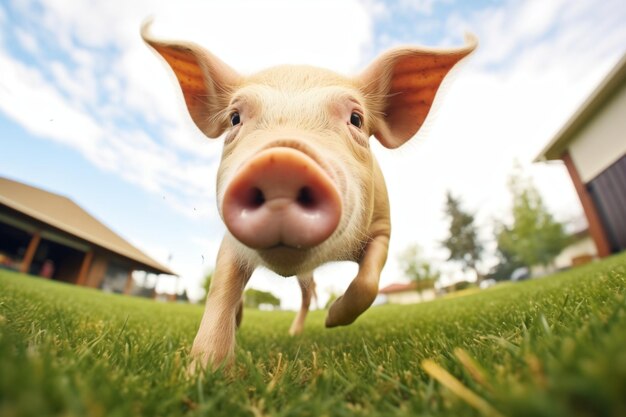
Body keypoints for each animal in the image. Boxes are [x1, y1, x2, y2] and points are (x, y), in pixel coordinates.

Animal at [140, 21, 472, 368]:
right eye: (235, 118)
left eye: (356, 119)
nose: (281, 163)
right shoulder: (231, 241)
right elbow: (221, 288)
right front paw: (204, 370)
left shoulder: (383, 227)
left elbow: (368, 281)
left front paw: (331, 319)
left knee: (308, 293)